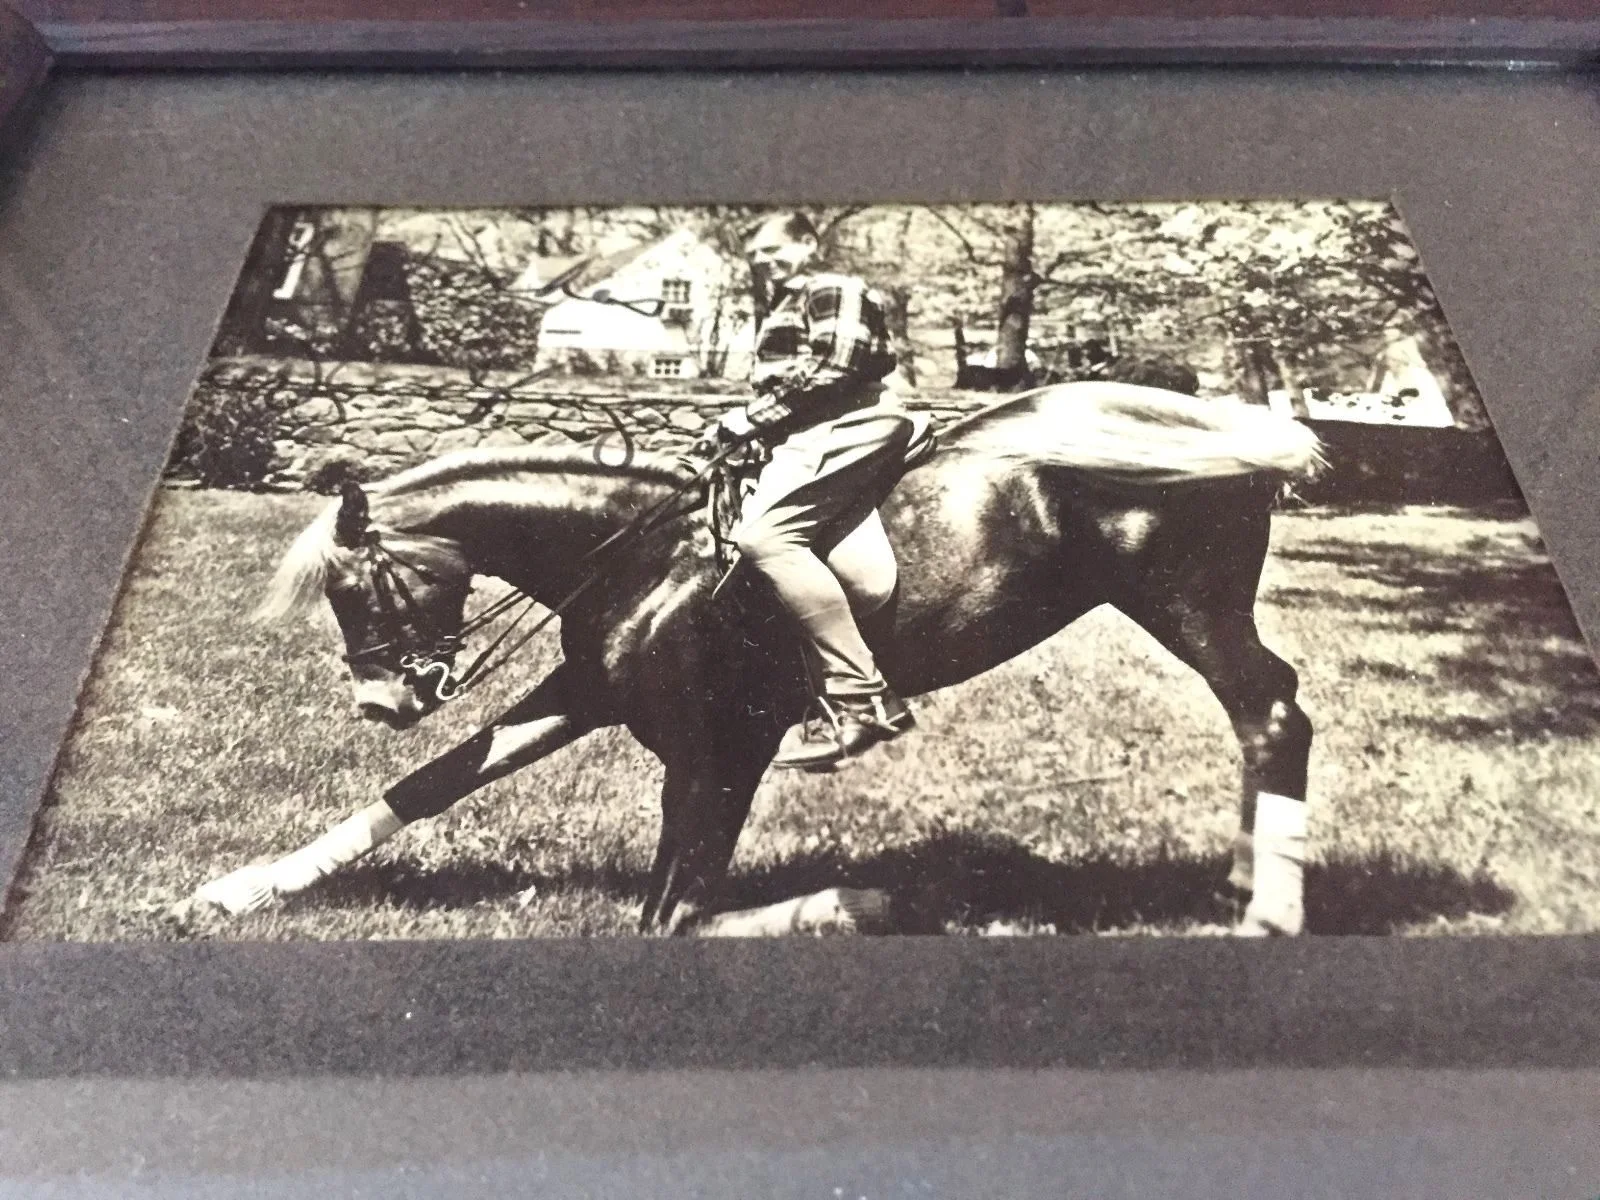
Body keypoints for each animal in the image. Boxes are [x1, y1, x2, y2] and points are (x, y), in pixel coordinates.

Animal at [193, 382, 1324, 936]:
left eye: (356, 589)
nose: (382, 702)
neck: (643, 555)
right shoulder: (588, 692)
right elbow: (431, 785)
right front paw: (240, 892)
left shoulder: (725, 747)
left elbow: (677, 917)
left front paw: (859, 903)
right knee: (1256, 720)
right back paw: (1242, 880)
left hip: (1182, 600)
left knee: (1273, 713)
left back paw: (1269, 910)